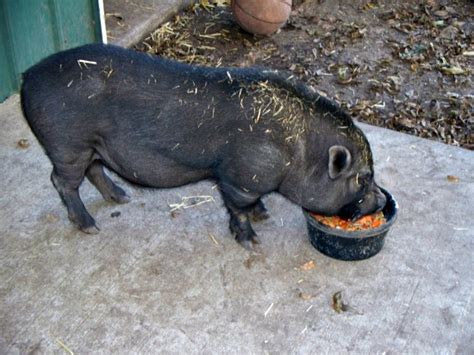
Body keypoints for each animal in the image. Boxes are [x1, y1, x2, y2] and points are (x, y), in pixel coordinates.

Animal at [20, 43, 386, 250]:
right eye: (363, 178)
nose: (382, 200)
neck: (298, 150)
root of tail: (26, 78)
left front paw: (264, 215)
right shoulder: (240, 177)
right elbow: (238, 208)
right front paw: (253, 243)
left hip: (90, 144)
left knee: (94, 169)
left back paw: (121, 197)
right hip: (68, 144)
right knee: (62, 181)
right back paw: (91, 227)